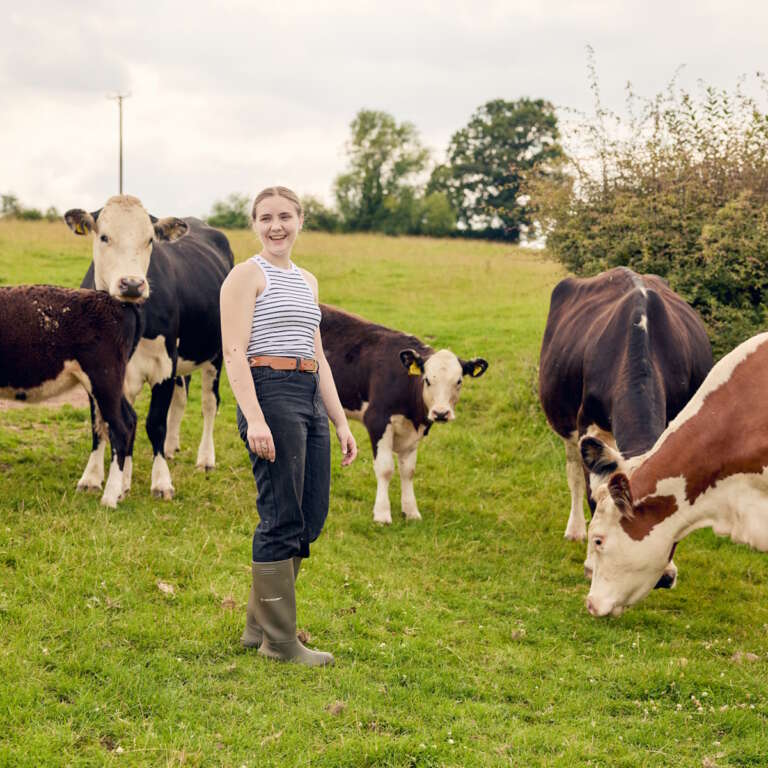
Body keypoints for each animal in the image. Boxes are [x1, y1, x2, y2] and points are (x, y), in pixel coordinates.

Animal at [0, 284, 140, 508]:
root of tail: (117, 302)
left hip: (105, 377)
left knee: (121, 427)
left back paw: (109, 498)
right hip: (111, 384)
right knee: (131, 418)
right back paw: (122, 490)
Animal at [65, 195, 234, 500]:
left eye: (150, 240)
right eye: (104, 236)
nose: (132, 284)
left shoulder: (163, 366)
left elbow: (154, 423)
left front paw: (161, 482)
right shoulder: (97, 368)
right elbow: (104, 424)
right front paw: (100, 478)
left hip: (216, 353)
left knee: (209, 403)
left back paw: (205, 458)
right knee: (180, 399)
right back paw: (170, 446)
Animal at [320, 304, 488, 524]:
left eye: (458, 381)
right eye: (427, 379)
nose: (441, 413)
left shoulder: (414, 431)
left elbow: (408, 471)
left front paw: (411, 511)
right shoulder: (377, 420)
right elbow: (385, 468)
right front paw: (382, 514)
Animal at [536, 264, 712, 584]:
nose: (659, 578)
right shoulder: (588, 424)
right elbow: (588, 488)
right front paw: (591, 563)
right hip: (565, 424)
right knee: (574, 473)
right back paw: (575, 529)